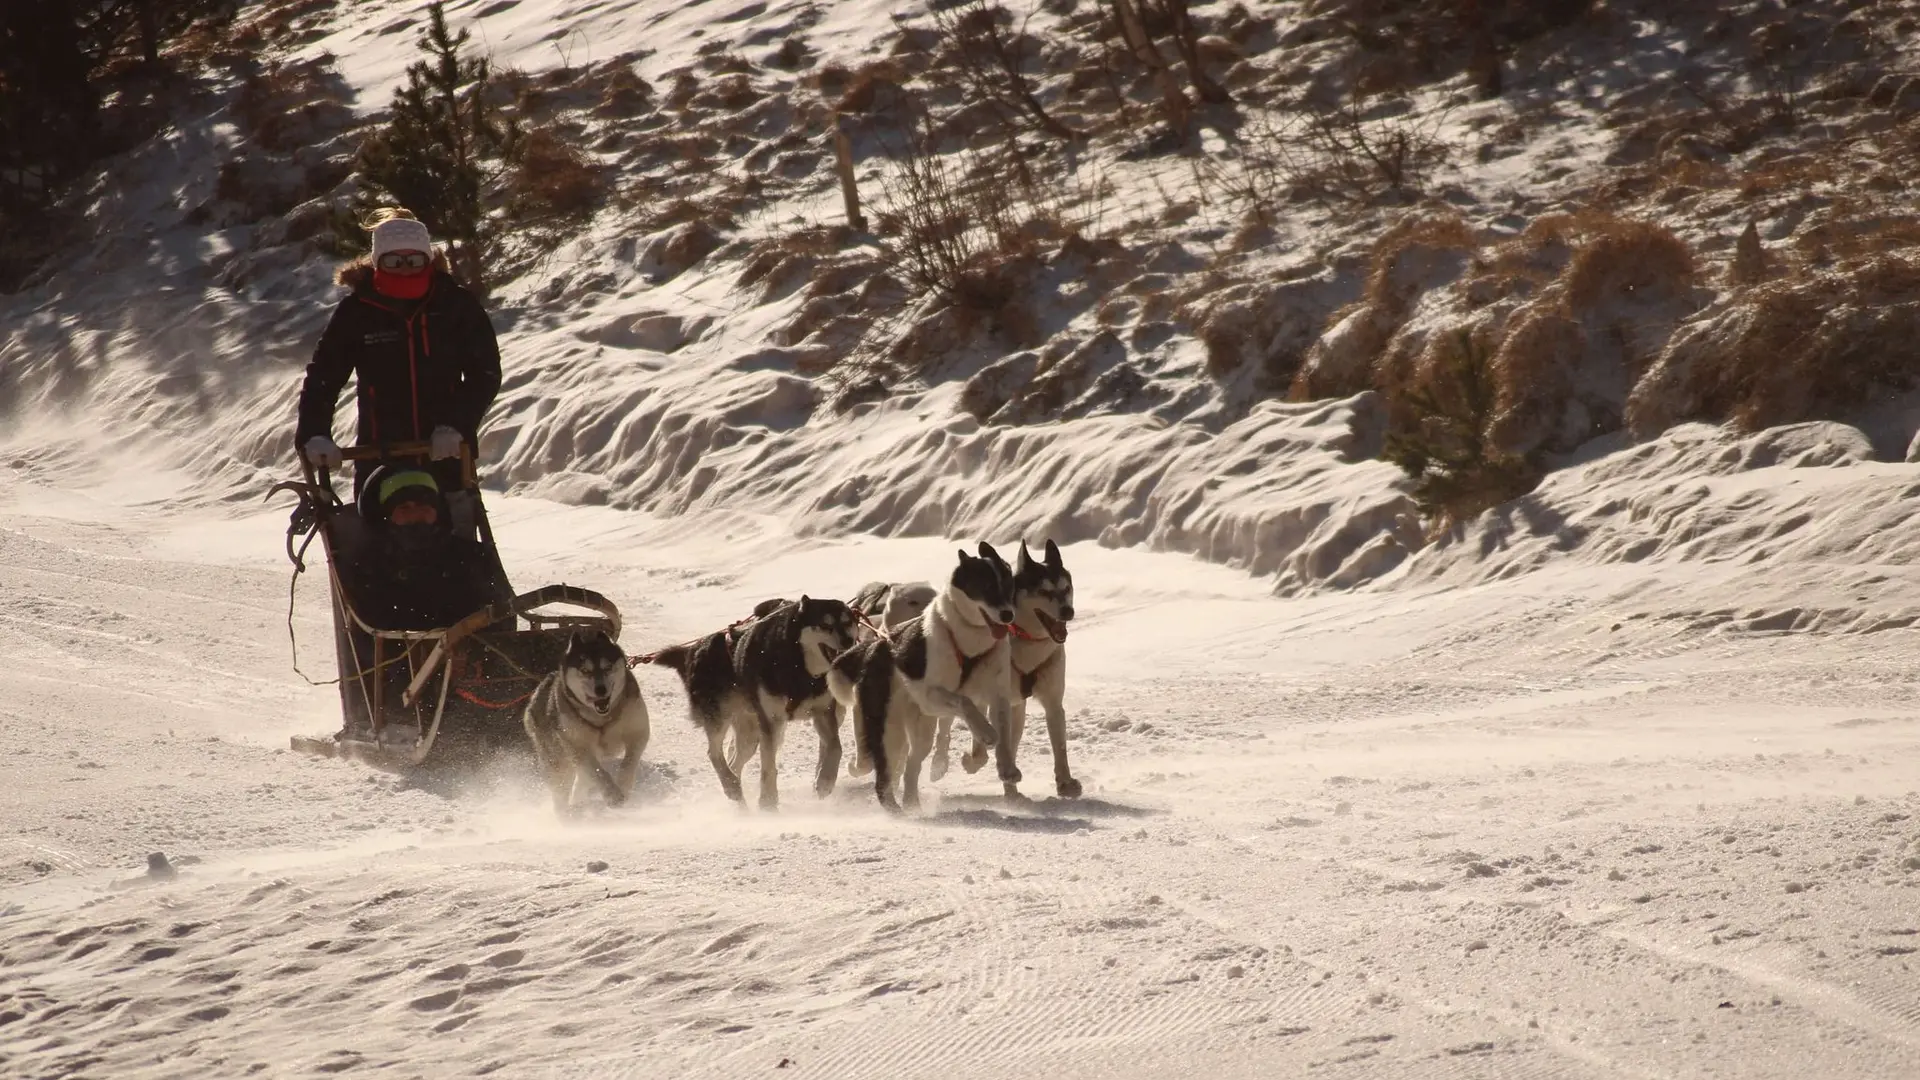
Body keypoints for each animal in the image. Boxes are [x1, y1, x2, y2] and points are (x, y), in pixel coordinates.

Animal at [526, 626, 652, 810]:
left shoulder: (638, 732)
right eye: (585, 670)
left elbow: (629, 763)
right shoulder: (577, 746)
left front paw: (623, 786)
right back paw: (566, 812)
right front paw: (612, 794)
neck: (603, 719)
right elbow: (597, 772)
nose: (601, 689)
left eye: (608, 667)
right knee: (563, 787)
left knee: (582, 779)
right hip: (557, 759)